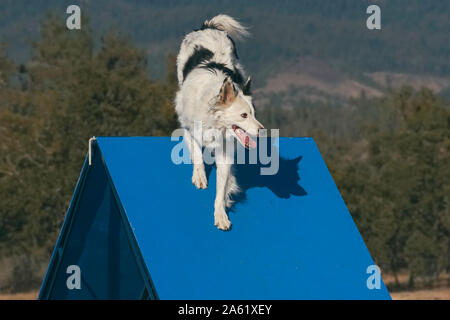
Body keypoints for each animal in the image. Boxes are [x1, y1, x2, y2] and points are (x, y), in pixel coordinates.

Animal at [173, 14, 264, 230]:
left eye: (254, 113)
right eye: (244, 115)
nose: (263, 131)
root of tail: (209, 27)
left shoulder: (224, 153)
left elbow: (221, 188)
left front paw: (221, 213)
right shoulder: (189, 125)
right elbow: (197, 152)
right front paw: (199, 174)